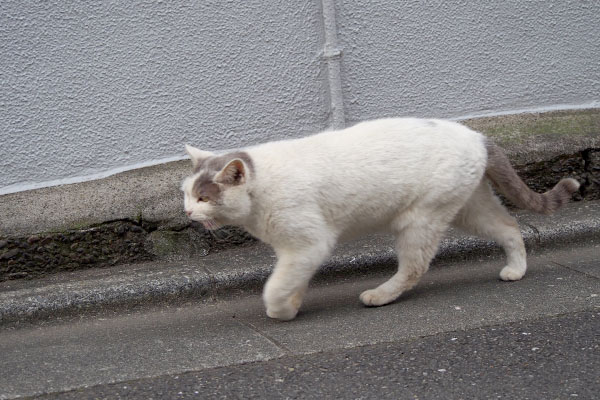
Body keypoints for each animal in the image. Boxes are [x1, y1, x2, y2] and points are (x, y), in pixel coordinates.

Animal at [180, 117, 580, 320]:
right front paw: (292, 304)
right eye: (185, 193)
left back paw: (380, 295)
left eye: (203, 197)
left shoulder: (308, 244)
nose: (186, 211)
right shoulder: (296, 251)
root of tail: (478, 135)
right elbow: (292, 280)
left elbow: (274, 286)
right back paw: (516, 269)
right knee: (510, 227)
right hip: (470, 208)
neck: (259, 193)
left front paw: (280, 310)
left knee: (414, 268)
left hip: (420, 219)